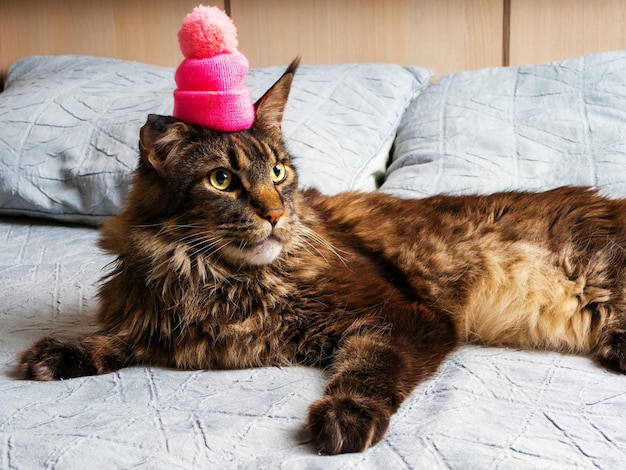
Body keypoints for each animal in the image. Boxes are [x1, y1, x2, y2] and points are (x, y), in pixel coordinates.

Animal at [17, 59, 624, 456]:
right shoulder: (168, 322)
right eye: (222, 180)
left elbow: (369, 365)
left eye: (279, 171)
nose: (274, 214)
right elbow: (123, 337)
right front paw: (64, 351)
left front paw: (345, 416)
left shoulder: (402, 316)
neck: (221, 280)